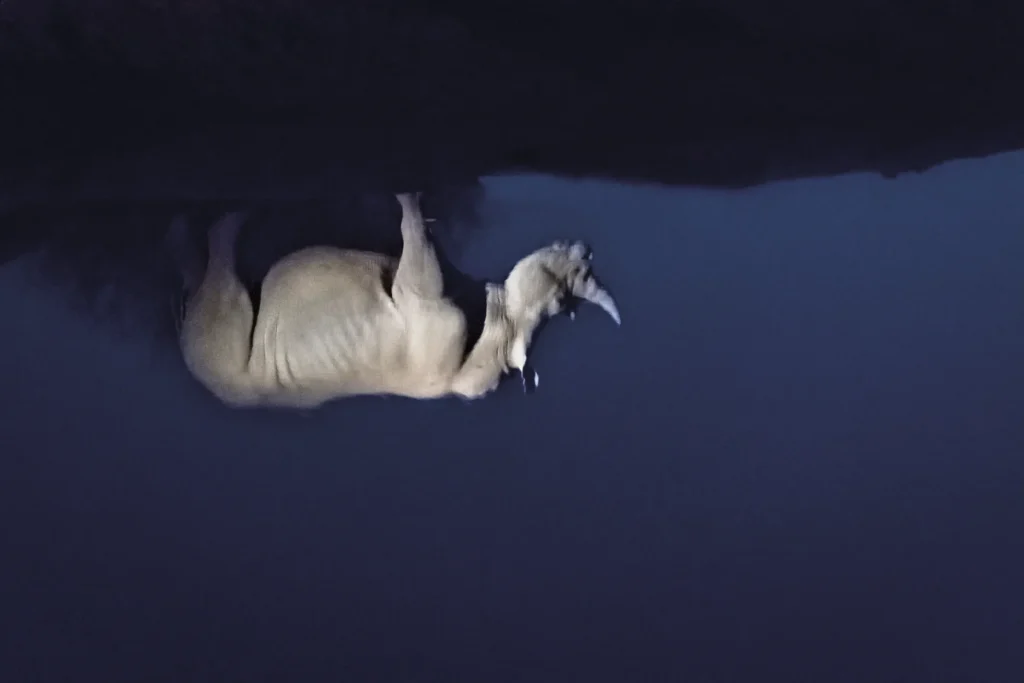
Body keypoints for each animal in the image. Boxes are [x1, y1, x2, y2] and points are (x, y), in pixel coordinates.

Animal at [174, 192, 620, 408]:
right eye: (562, 298)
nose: (582, 247)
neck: (503, 324)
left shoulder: (422, 299)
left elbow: (414, 232)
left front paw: (409, 197)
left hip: (230, 372)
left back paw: (226, 222)